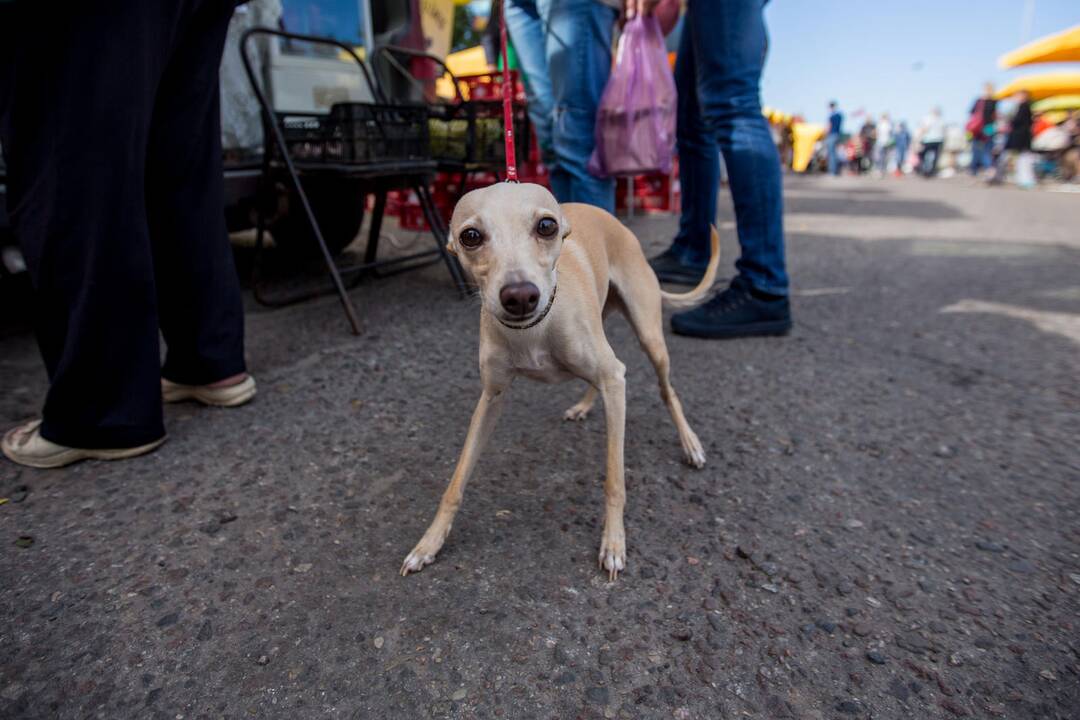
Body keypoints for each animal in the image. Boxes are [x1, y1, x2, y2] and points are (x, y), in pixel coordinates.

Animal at [401, 181, 721, 578]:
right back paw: (584, 405)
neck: (534, 331)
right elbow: (455, 483)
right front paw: (429, 543)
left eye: (546, 226)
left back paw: (690, 444)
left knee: (666, 390)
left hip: (650, 338)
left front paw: (614, 543)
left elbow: (614, 480)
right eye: (470, 236)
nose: (520, 296)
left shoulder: (613, 380)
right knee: (606, 377)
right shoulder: (491, 397)